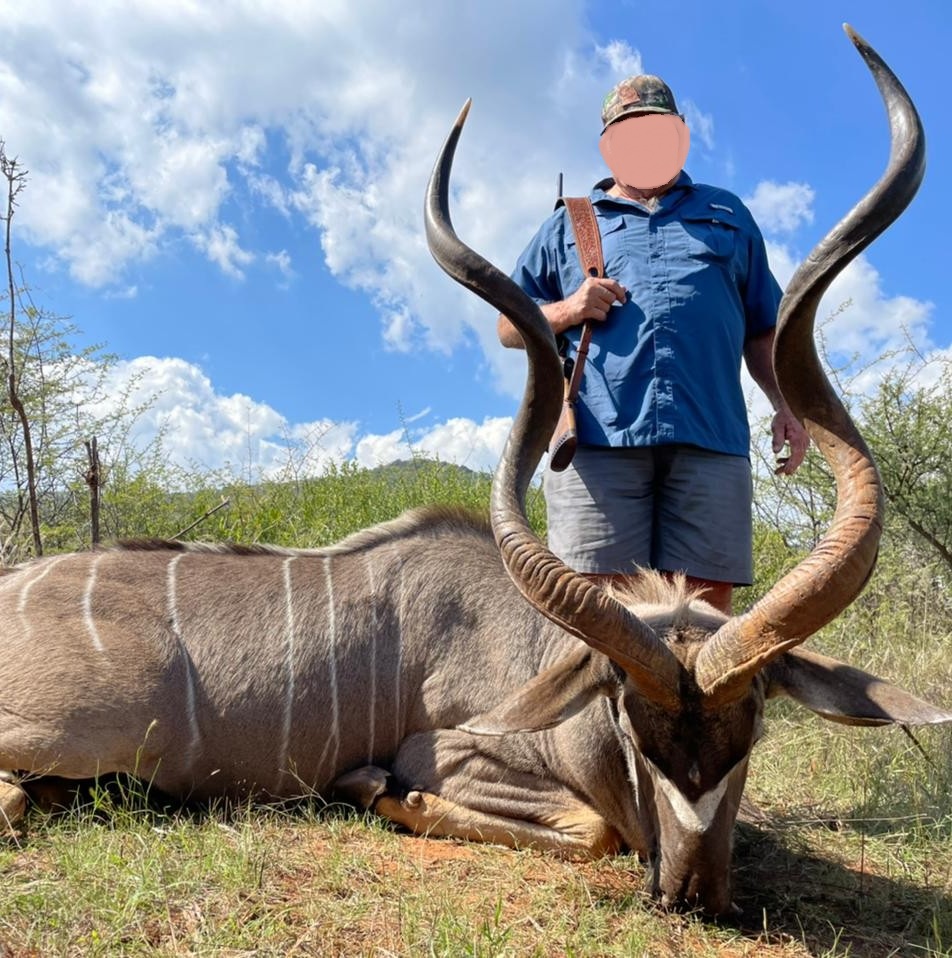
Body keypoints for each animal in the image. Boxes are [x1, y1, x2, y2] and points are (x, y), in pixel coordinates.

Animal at [0, 26, 949, 916]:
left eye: (750, 732)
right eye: (632, 729)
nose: (692, 890)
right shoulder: (454, 750)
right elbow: (589, 827)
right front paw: (375, 788)